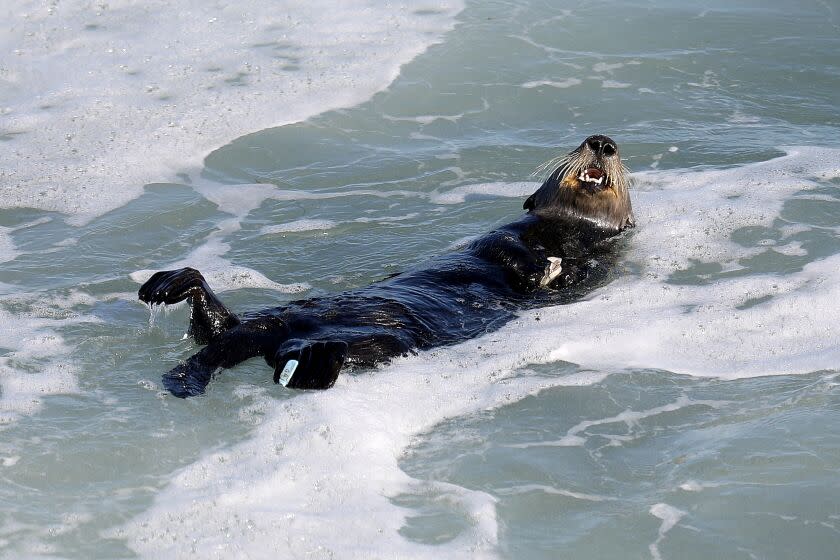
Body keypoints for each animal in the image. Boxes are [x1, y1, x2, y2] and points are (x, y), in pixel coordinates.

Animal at [139, 135, 636, 398]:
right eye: (582, 143)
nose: (602, 143)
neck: (566, 234)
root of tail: (287, 330)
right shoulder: (509, 230)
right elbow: (499, 245)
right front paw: (537, 266)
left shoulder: (601, 263)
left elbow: (576, 279)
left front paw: (552, 271)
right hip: (293, 320)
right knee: (222, 331)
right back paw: (167, 285)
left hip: (382, 341)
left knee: (254, 347)